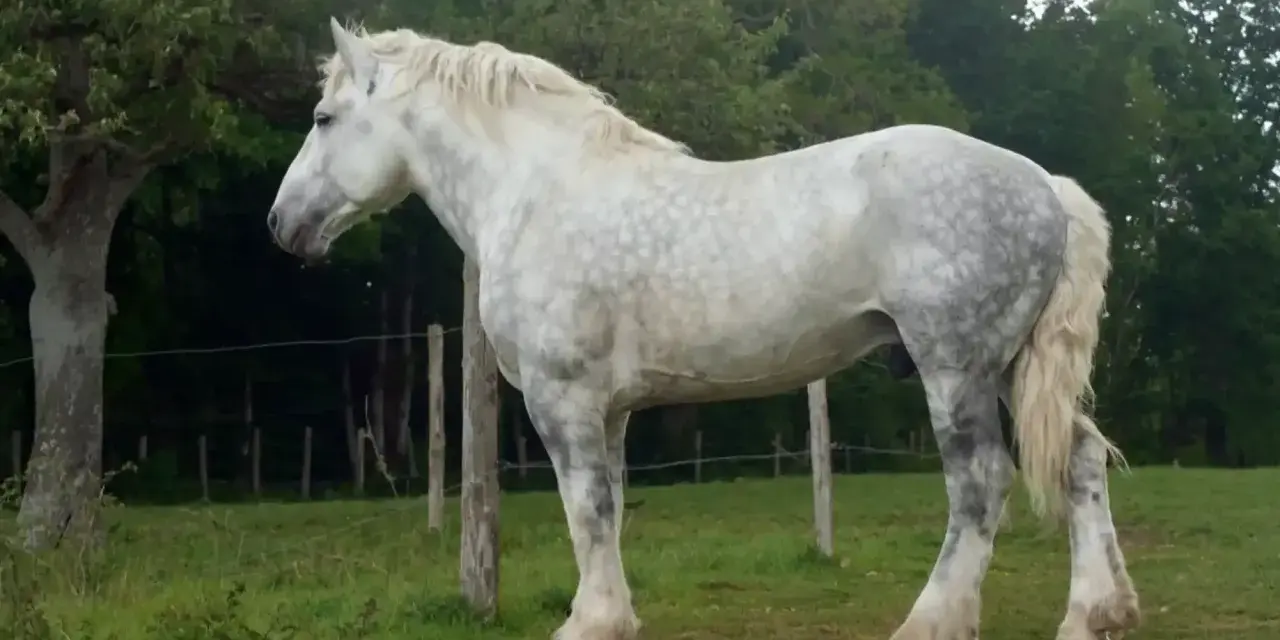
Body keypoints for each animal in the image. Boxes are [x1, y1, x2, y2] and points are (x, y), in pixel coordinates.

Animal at [265, 18, 1141, 640]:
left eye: (325, 117)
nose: (282, 224)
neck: (538, 189)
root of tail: (1045, 186)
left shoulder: (562, 400)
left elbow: (585, 508)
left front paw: (591, 622)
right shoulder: (609, 411)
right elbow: (607, 509)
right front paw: (611, 615)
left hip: (956, 368)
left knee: (981, 483)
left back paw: (933, 621)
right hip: (1013, 368)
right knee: (1080, 460)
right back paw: (1095, 613)